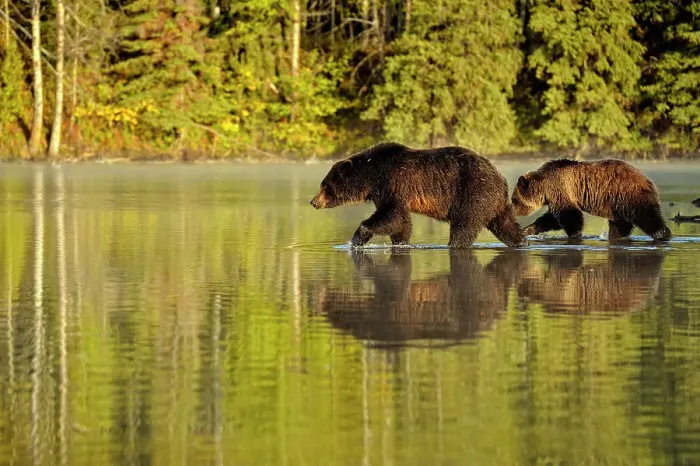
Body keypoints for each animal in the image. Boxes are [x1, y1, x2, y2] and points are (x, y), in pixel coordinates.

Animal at [309, 142, 527, 248]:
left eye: (324, 185)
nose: (313, 201)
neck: (371, 176)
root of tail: (500, 177)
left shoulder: (393, 183)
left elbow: (392, 215)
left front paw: (356, 239)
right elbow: (401, 222)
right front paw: (401, 242)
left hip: (473, 192)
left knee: (464, 226)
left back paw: (454, 244)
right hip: (495, 203)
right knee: (506, 225)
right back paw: (521, 241)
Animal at [510, 159, 672, 241]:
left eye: (514, 199)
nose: (512, 209)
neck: (543, 186)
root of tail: (648, 180)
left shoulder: (560, 189)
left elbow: (569, 215)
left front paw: (575, 234)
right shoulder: (557, 194)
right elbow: (551, 219)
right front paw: (527, 229)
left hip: (630, 194)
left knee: (647, 215)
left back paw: (663, 234)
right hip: (616, 204)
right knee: (621, 224)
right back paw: (614, 236)